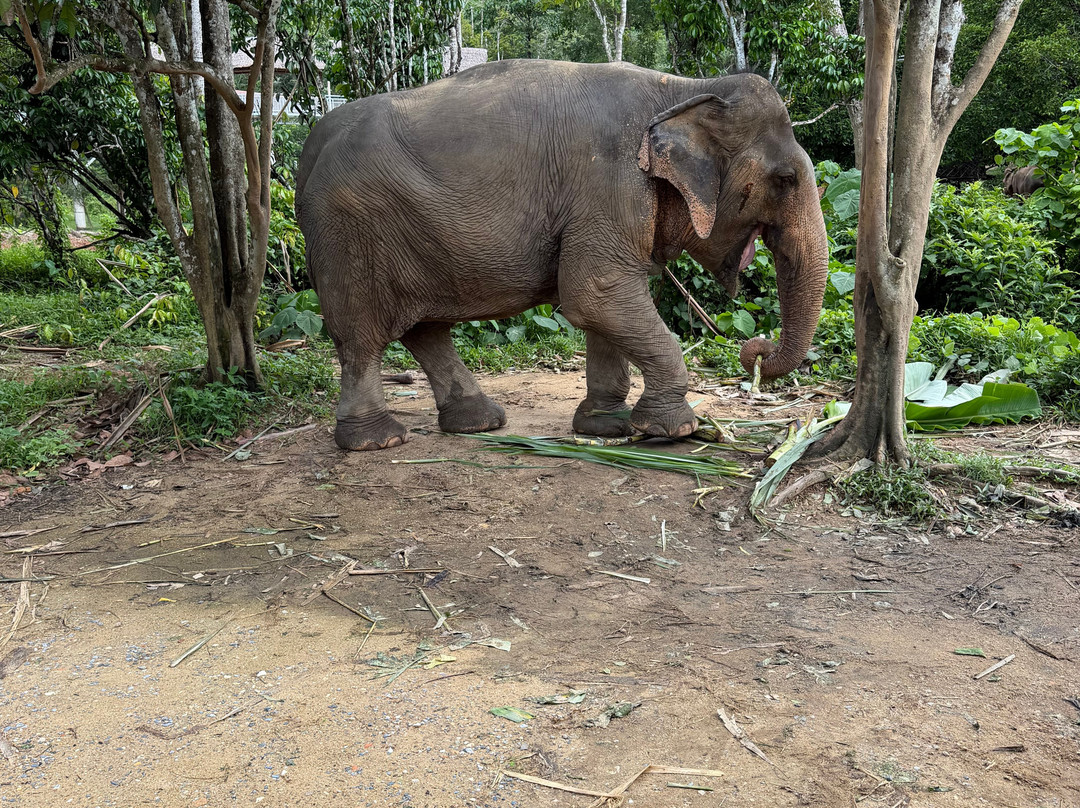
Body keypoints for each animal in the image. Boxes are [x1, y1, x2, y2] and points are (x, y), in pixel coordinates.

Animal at [295, 60, 829, 450]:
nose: (755, 350)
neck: (682, 88)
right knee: (361, 335)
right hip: (350, 233)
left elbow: (606, 304)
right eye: (785, 180)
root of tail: (310, 148)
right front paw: (673, 430)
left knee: (425, 329)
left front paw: (607, 427)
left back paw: (478, 422)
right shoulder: (608, 183)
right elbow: (596, 293)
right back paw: (377, 441)